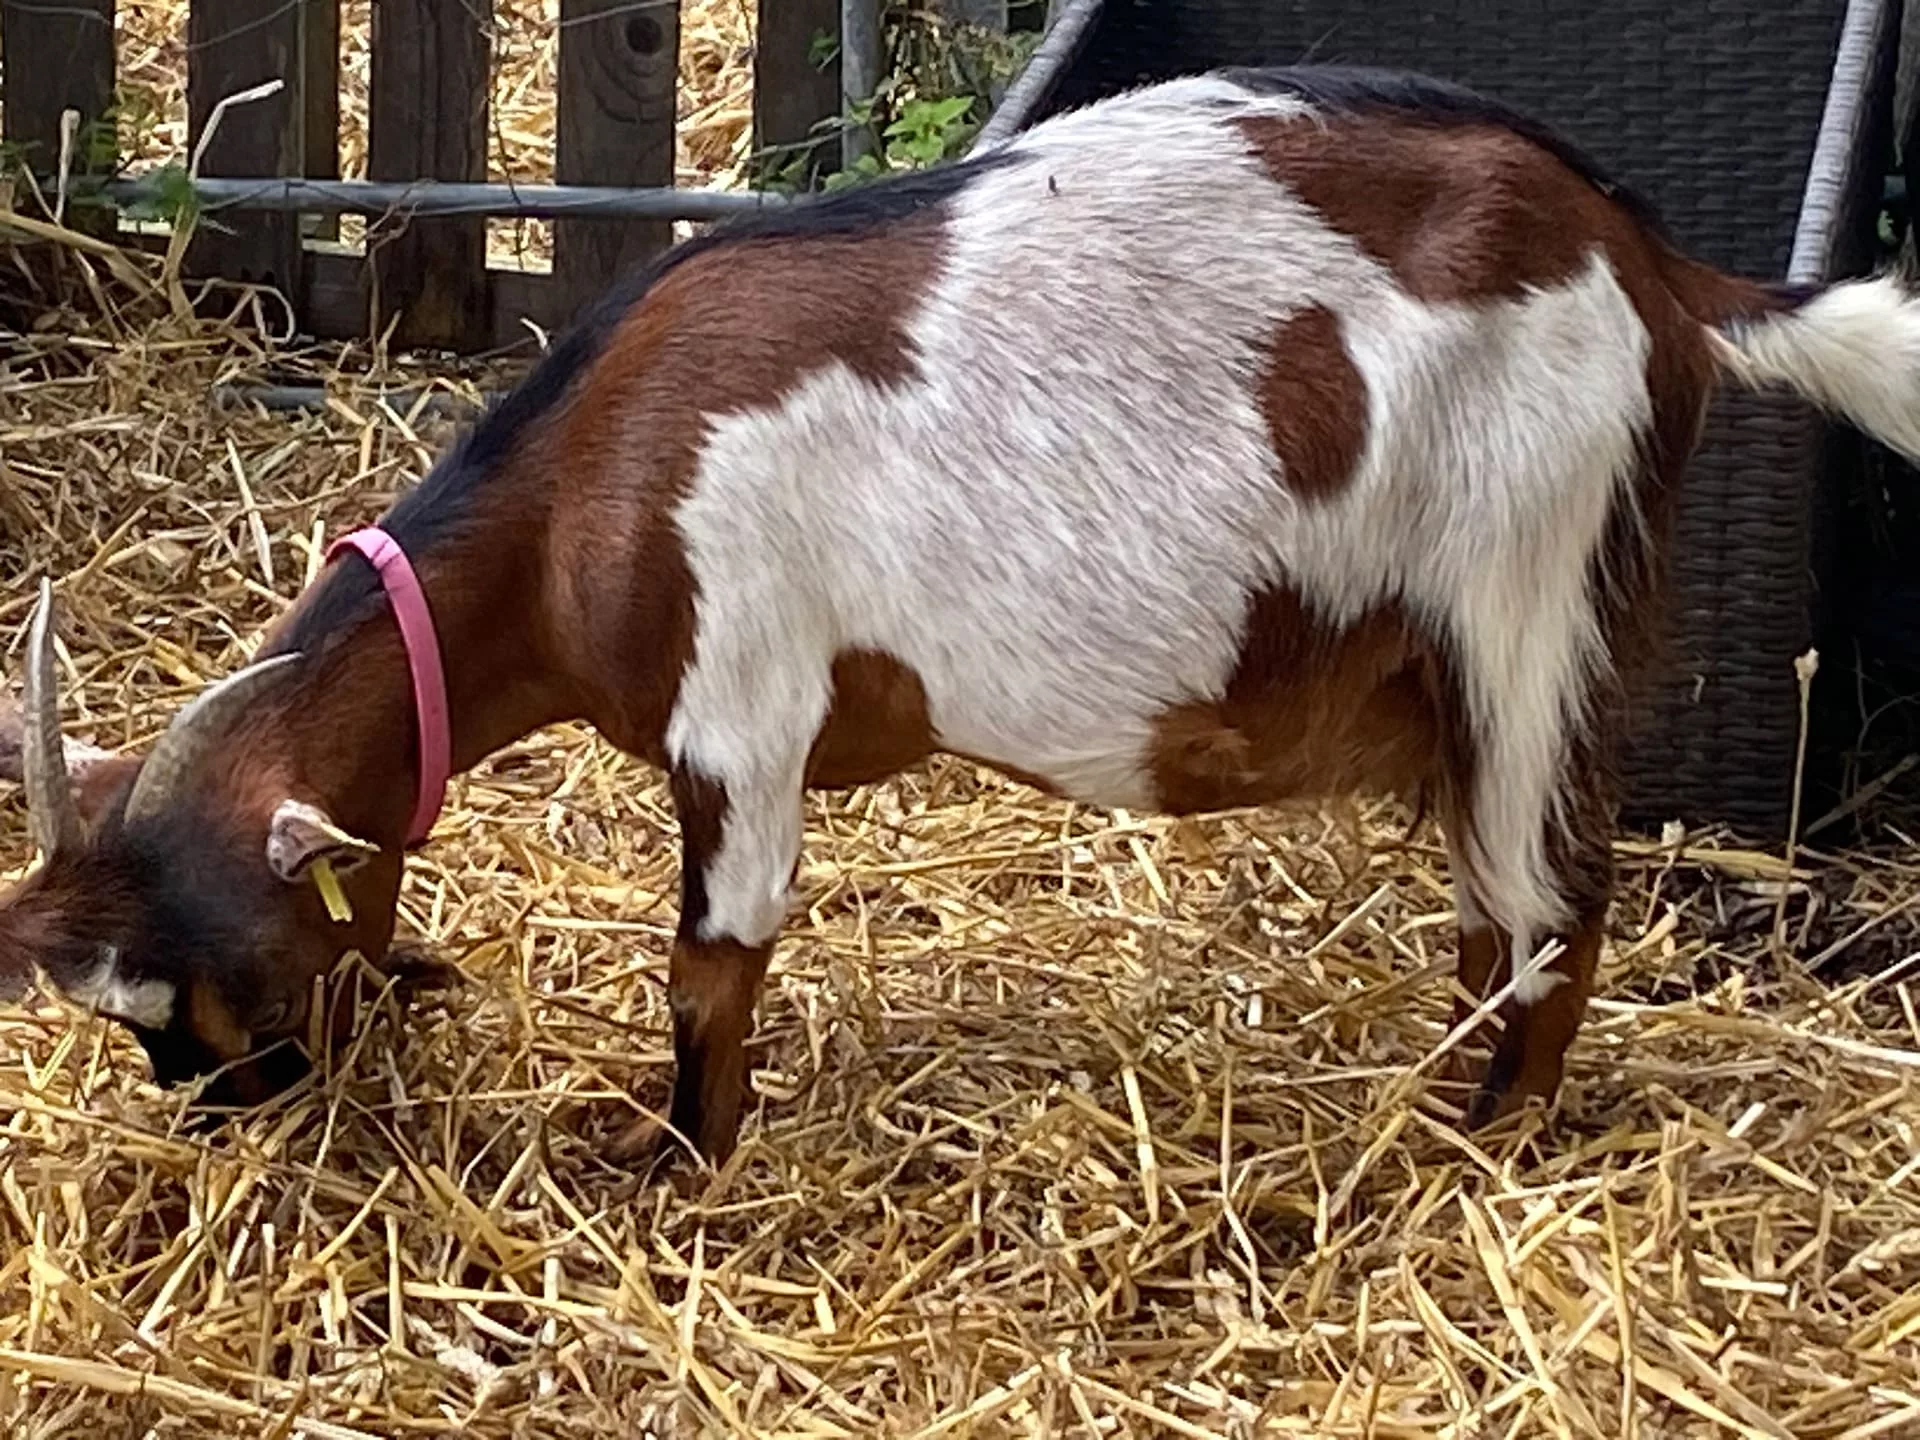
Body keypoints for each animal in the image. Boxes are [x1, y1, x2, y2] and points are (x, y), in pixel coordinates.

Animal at [5, 66, 1920, 1165]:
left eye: (214, 986)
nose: (221, 1123)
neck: (590, 486)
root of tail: (1661, 266)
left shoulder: (744, 715)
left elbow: (713, 969)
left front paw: (678, 1173)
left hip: (1529, 607)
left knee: (1546, 916)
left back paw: (1482, 1162)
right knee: (1495, 920)